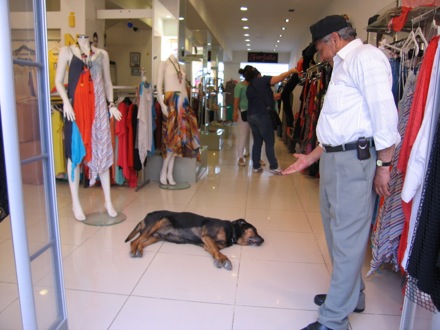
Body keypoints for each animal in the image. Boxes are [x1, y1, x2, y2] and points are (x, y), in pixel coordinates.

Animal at [124, 210, 262, 270]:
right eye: (254, 230)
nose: (263, 240)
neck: (232, 231)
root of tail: (144, 217)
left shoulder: (206, 244)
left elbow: (214, 251)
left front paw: (218, 260)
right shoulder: (206, 237)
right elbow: (218, 251)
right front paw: (224, 260)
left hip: (155, 237)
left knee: (140, 243)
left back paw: (139, 251)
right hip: (156, 224)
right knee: (133, 242)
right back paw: (133, 251)